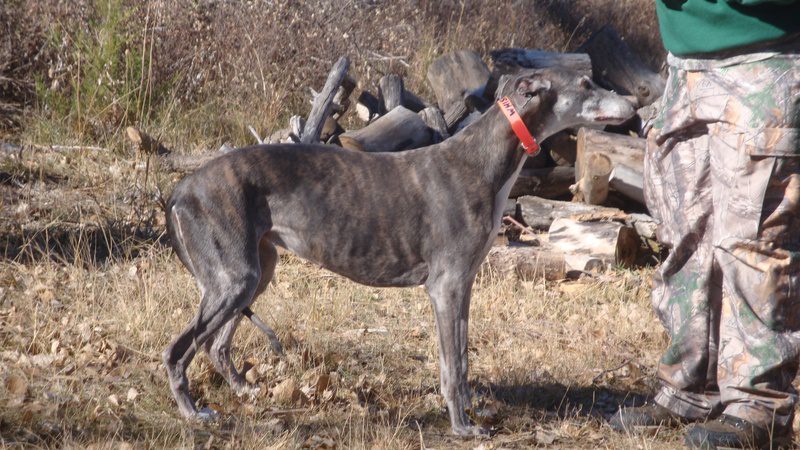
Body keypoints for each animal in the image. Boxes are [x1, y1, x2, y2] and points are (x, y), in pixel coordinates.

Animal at [166, 68, 636, 438]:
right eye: (586, 83)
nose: (633, 103)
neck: (483, 158)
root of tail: (182, 187)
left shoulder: (464, 284)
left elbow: (461, 359)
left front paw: (471, 412)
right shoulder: (446, 286)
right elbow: (453, 366)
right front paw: (463, 427)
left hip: (255, 273)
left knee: (216, 346)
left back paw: (244, 390)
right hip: (234, 279)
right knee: (178, 351)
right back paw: (192, 413)